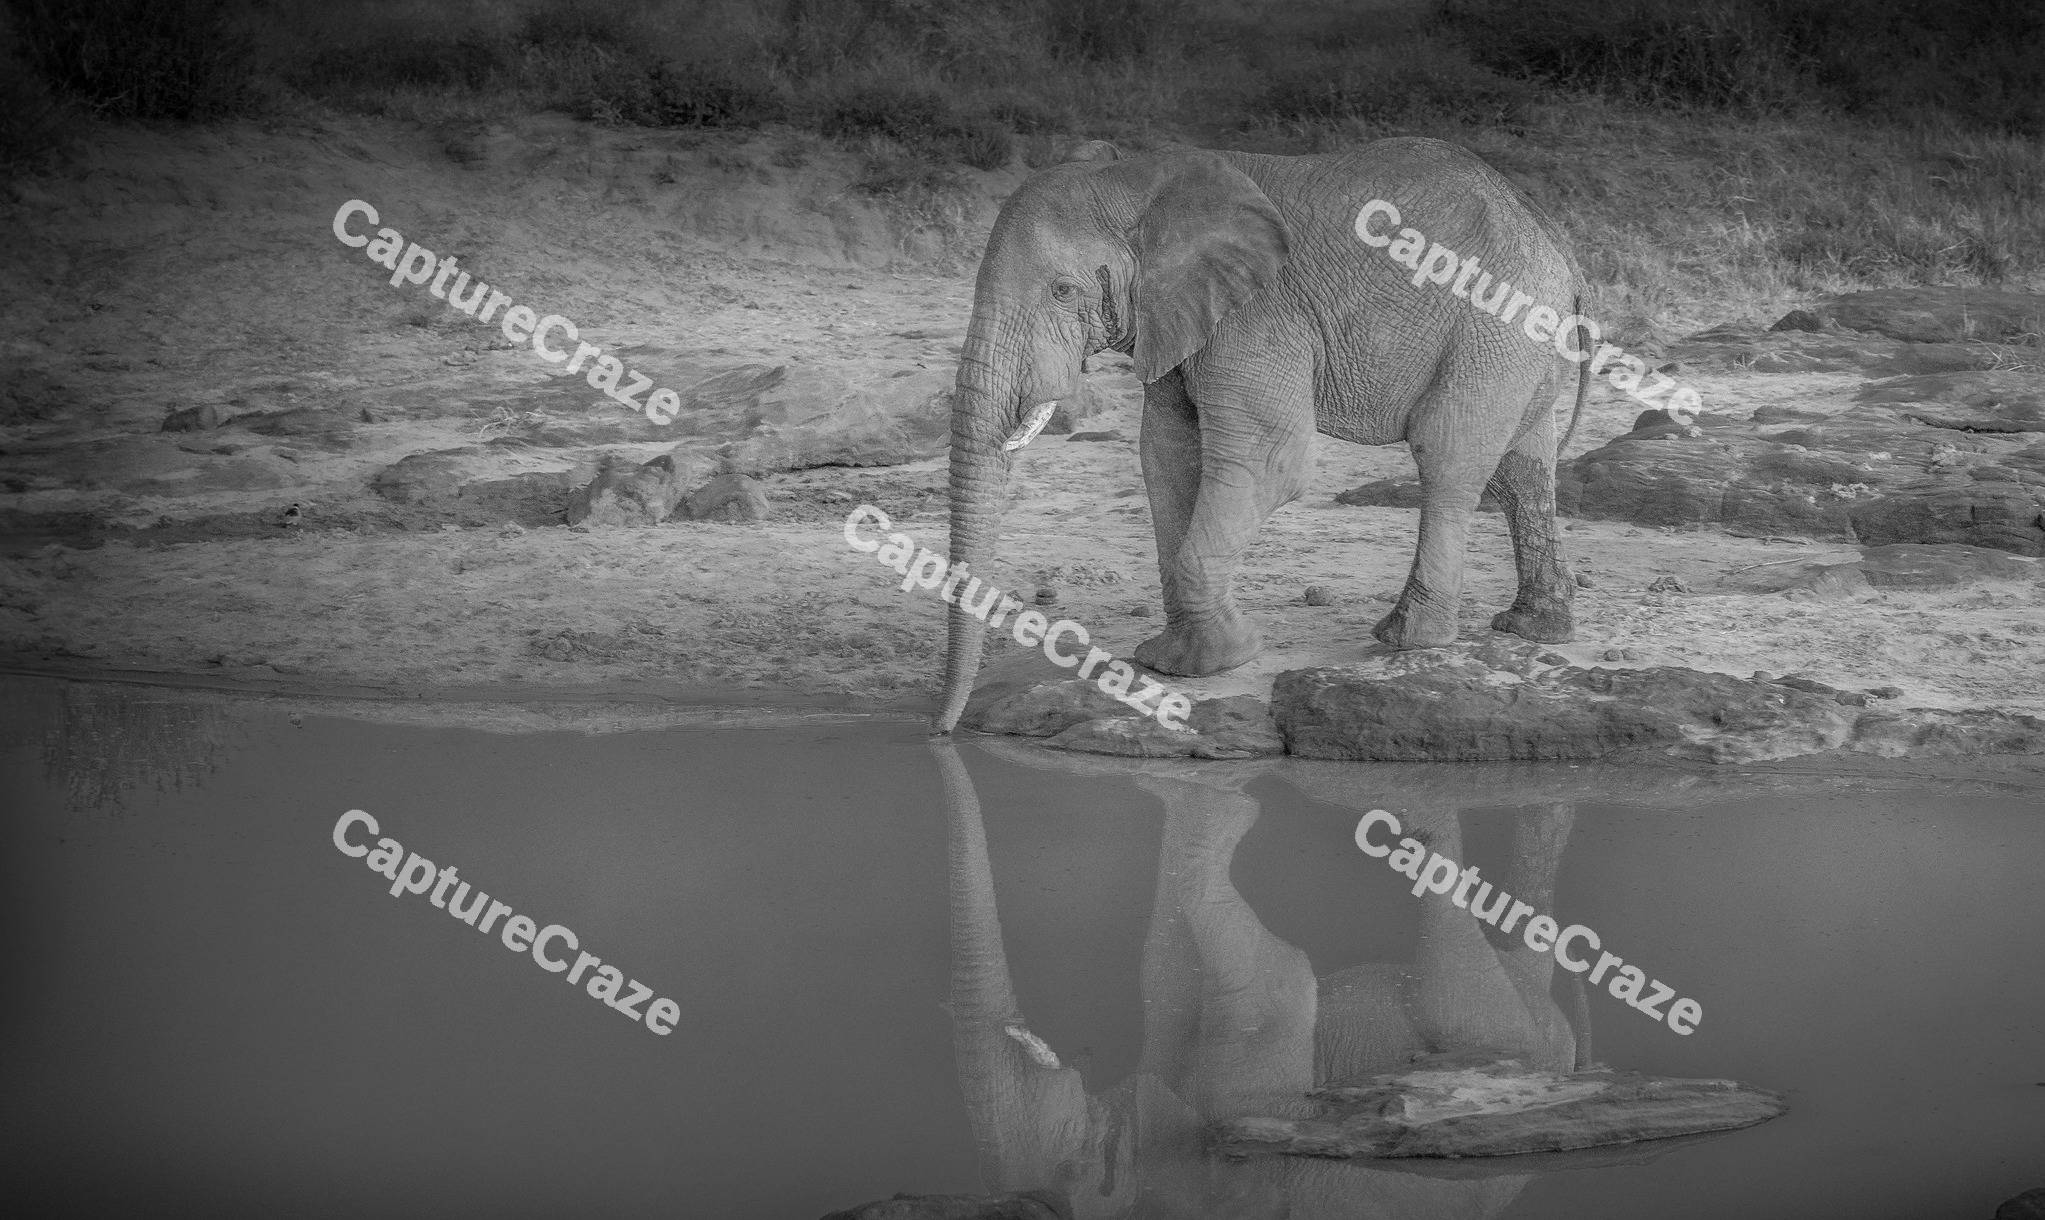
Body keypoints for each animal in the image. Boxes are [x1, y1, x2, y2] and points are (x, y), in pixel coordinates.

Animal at [934, 137, 1587, 732]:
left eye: (1063, 291)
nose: (942, 730)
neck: (1138, 180)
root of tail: (1559, 245)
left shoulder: (1257, 316)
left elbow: (1271, 462)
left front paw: (1219, 662)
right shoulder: (1180, 319)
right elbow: (1166, 456)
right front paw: (1170, 661)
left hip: (1494, 331)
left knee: (1447, 457)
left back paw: (1407, 639)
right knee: (1523, 468)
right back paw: (1535, 627)